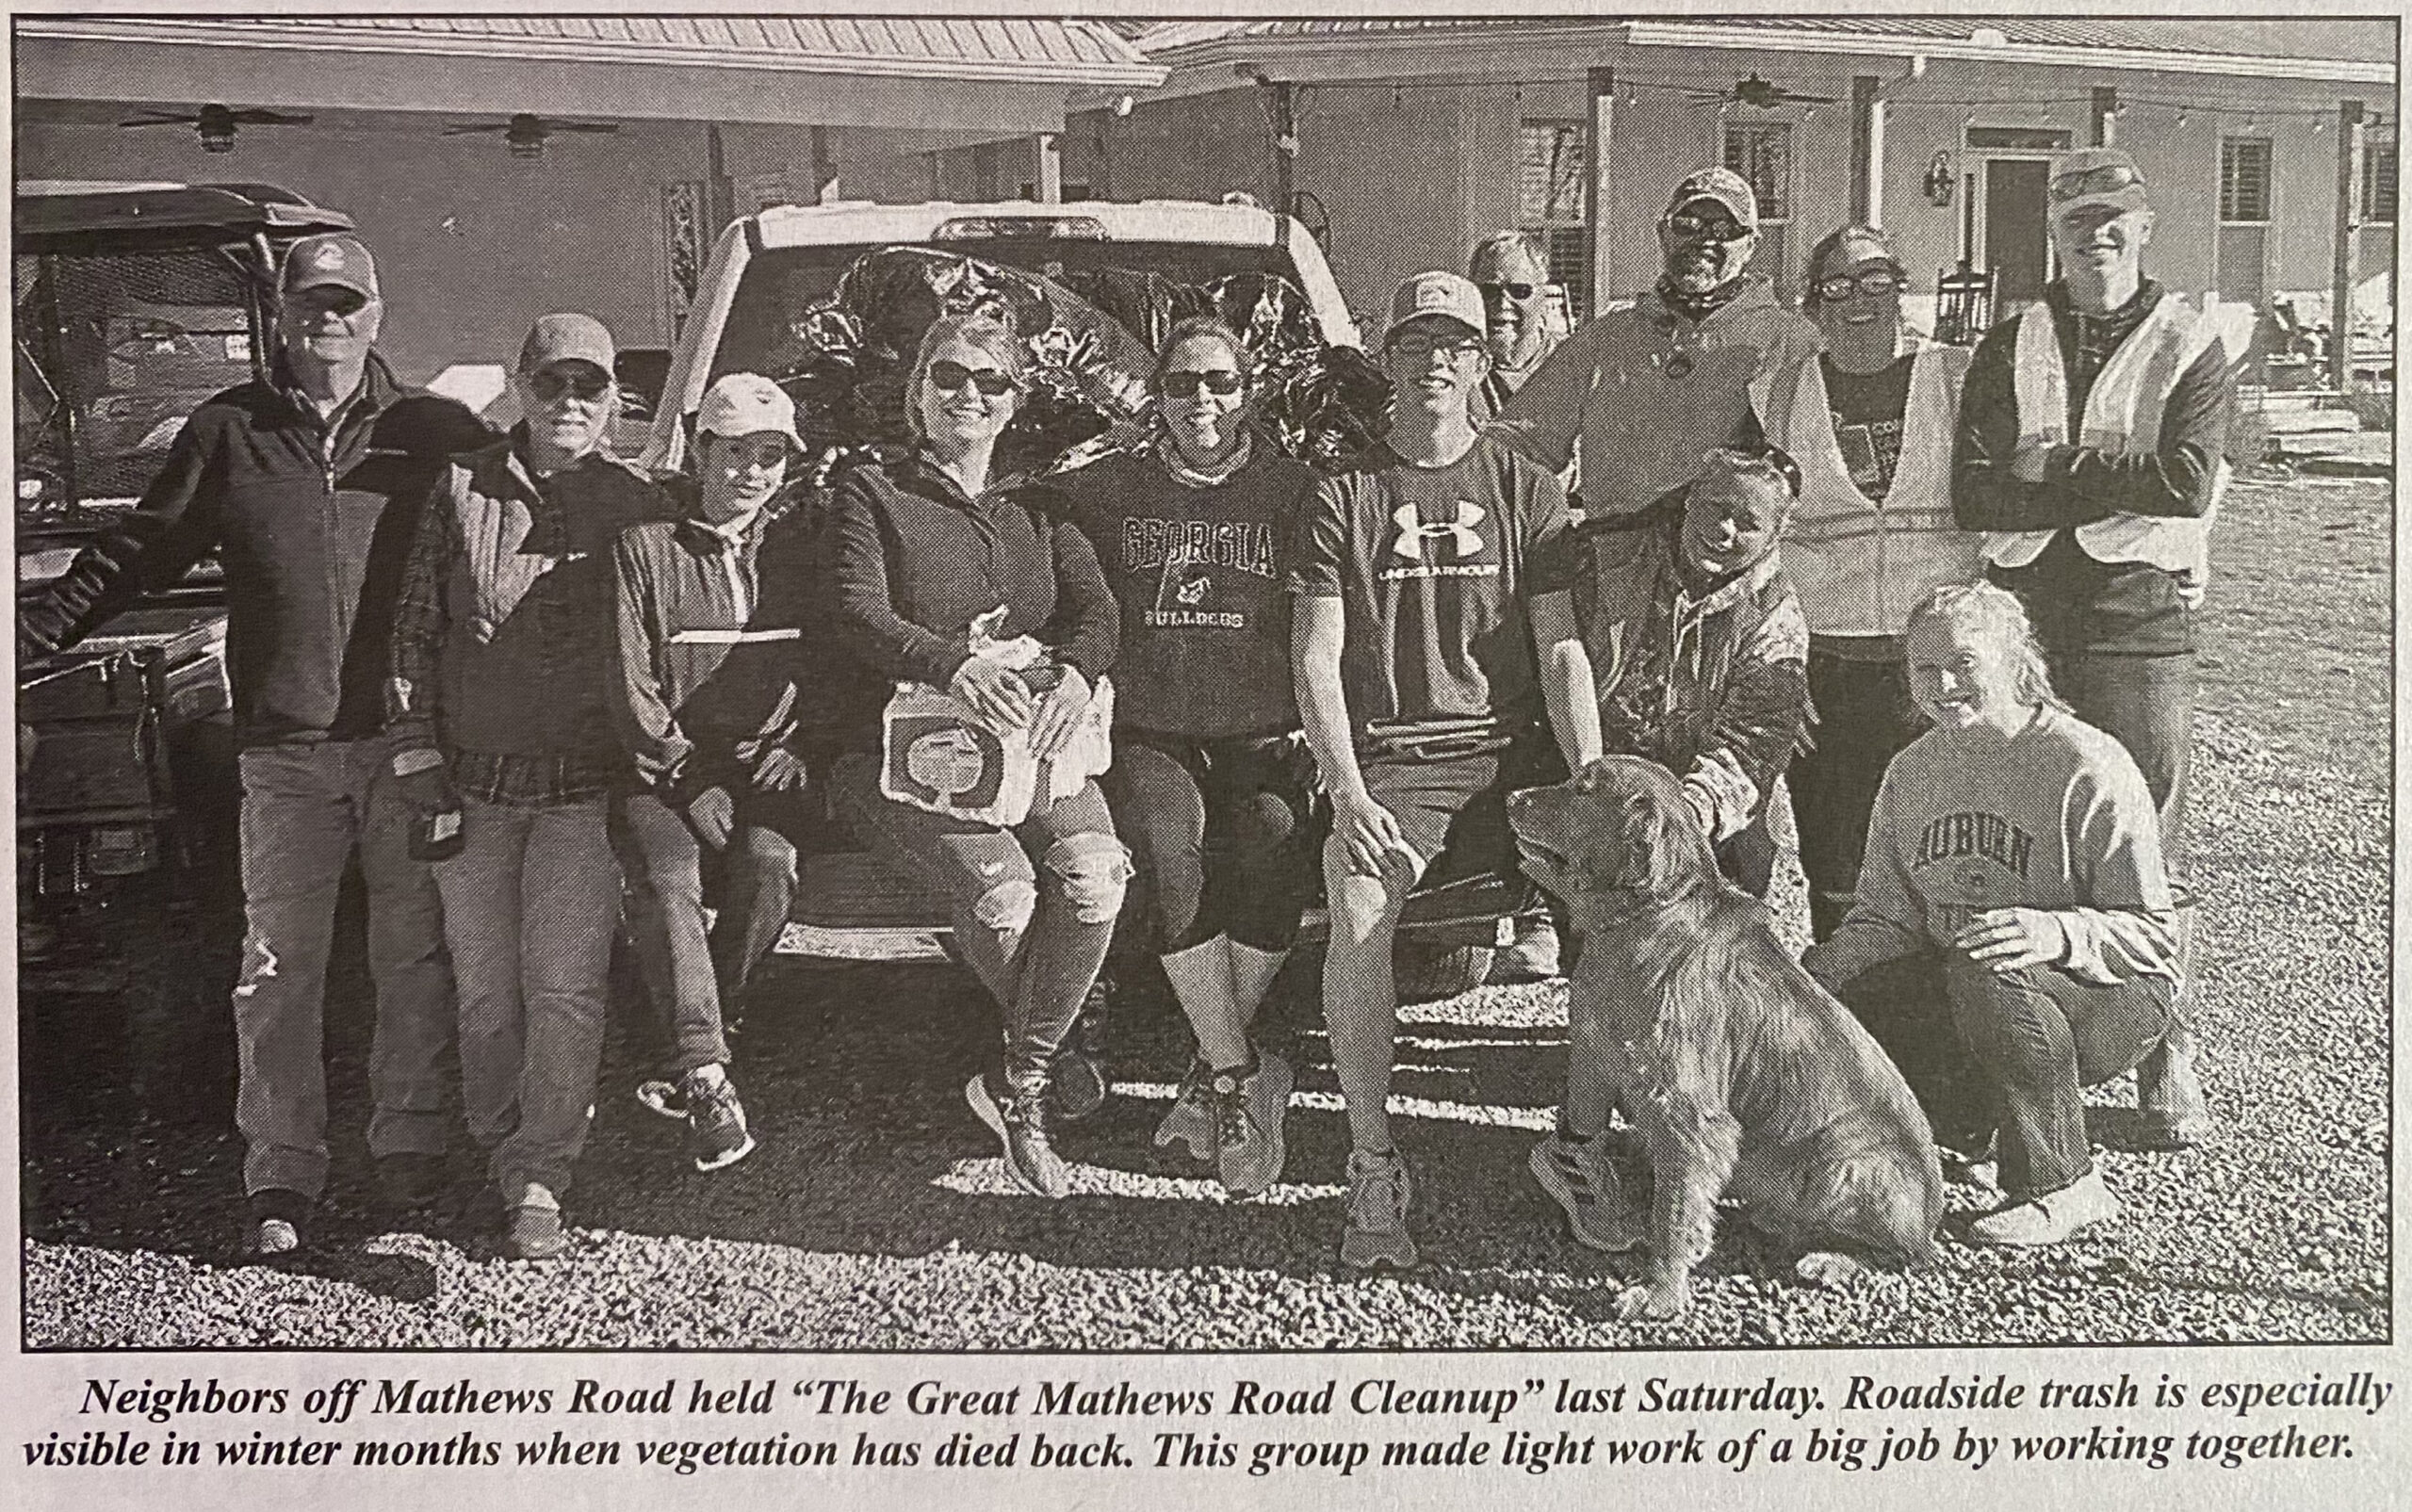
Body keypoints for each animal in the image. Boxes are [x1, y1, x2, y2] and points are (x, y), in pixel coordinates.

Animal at [1514, 761, 1948, 1321]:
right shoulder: (1597, 1051)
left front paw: (1660, 1294)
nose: (1512, 798)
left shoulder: (1691, 1113)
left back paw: (1831, 1259)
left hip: (1848, 1164)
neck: (1647, 916)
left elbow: (1673, 1213)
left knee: (1902, 1254)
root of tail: (1931, 1218)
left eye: (1584, 790)